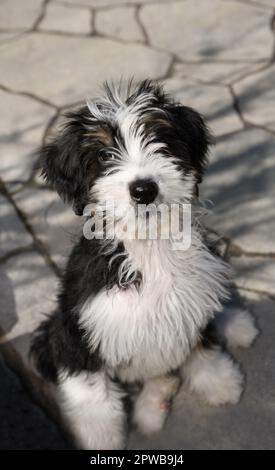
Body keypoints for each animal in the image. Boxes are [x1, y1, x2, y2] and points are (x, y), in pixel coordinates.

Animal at [31, 80, 260, 448]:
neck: (149, 246)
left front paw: (219, 382)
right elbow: (91, 393)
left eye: (160, 140)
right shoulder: (77, 329)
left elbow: (202, 347)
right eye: (104, 155)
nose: (144, 189)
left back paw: (237, 324)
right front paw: (99, 437)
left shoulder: (189, 307)